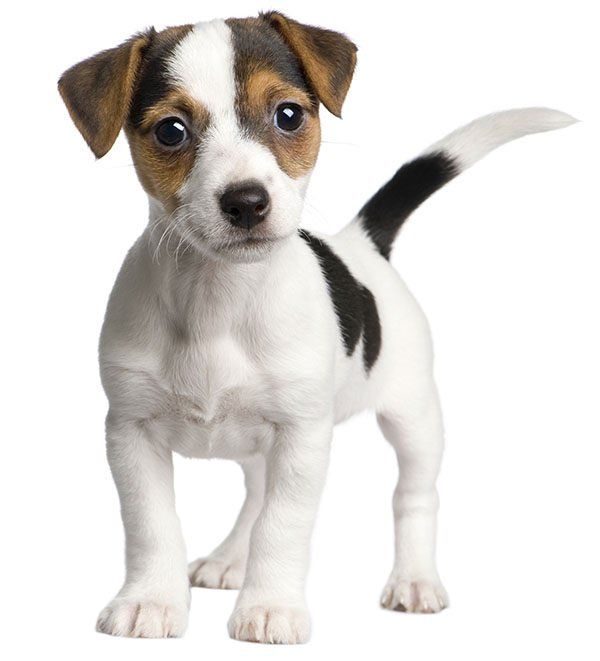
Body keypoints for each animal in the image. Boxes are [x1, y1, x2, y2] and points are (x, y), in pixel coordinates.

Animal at [58, 10, 576, 640]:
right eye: (171, 131)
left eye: (288, 115)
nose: (246, 202)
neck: (218, 298)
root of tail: (362, 242)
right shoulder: (131, 431)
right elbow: (151, 524)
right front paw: (152, 601)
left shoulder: (303, 436)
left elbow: (282, 526)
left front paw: (269, 607)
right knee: (256, 494)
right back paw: (230, 558)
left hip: (414, 417)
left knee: (414, 496)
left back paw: (414, 579)